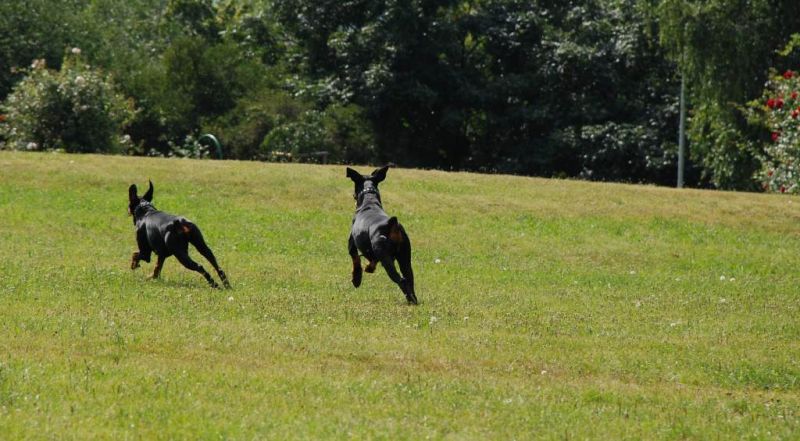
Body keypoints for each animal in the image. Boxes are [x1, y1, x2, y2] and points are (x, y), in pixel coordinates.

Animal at [346, 166, 418, 304]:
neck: (369, 201)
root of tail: (392, 224)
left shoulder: (352, 243)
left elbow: (356, 259)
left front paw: (356, 279)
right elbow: (371, 260)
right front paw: (369, 268)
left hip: (386, 258)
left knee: (401, 280)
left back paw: (410, 299)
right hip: (405, 259)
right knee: (409, 279)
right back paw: (414, 300)